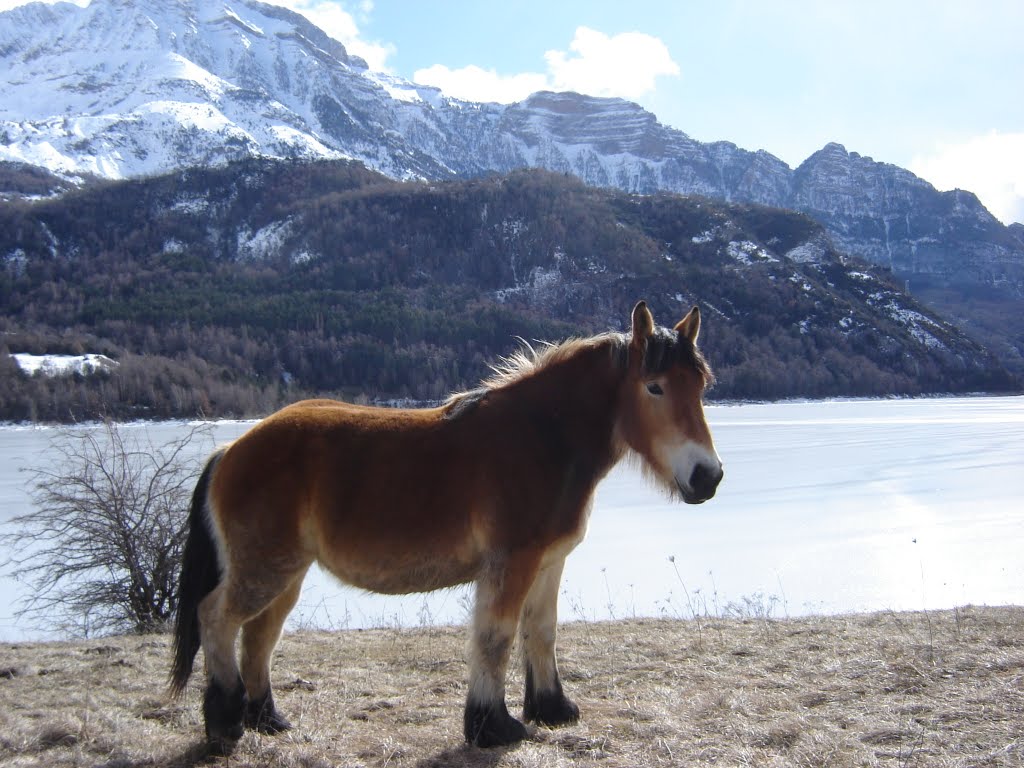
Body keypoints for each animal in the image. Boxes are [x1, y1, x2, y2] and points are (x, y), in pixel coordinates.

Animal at [167, 301, 724, 753]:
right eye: (654, 386)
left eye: (700, 386)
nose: (708, 477)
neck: (541, 439)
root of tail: (231, 450)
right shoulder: (510, 564)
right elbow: (496, 638)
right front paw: (492, 727)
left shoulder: (549, 562)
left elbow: (541, 632)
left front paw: (552, 710)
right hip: (264, 570)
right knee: (216, 619)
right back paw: (225, 726)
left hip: (286, 573)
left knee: (259, 636)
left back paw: (267, 719)